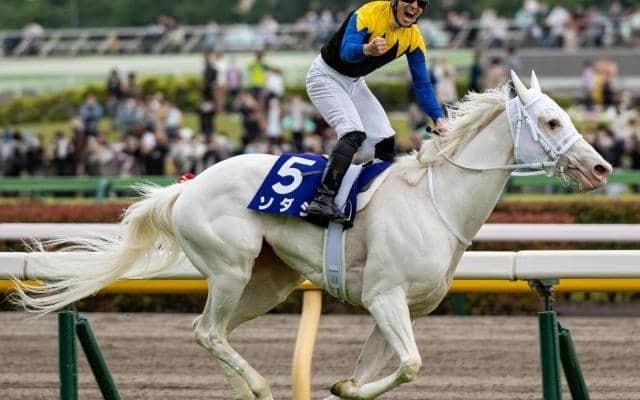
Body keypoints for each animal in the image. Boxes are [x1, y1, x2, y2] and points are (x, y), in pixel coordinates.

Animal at [13, 71, 612, 400]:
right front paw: (342, 385)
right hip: (230, 268)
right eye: (552, 121)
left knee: (209, 332)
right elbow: (412, 365)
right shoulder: (384, 297)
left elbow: (384, 373)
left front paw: (345, 386)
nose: (601, 168)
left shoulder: (403, 309)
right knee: (208, 331)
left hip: (268, 282)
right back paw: (256, 386)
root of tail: (186, 186)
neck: (433, 200)